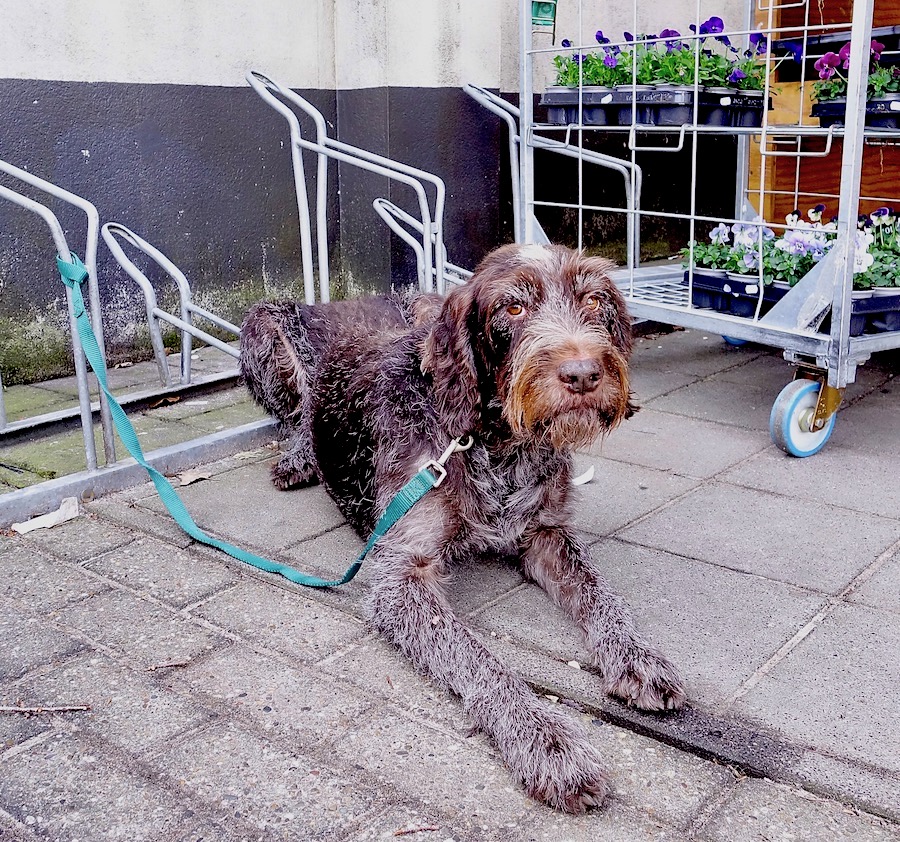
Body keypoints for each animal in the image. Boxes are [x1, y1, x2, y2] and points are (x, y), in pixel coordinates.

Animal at [240, 243, 685, 812]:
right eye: (512, 308)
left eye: (593, 300)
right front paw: (547, 741)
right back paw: (299, 455)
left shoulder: (543, 534)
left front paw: (636, 657)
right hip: (265, 323)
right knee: (294, 414)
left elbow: (600, 593)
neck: (495, 444)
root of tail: (352, 299)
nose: (584, 375)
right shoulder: (402, 576)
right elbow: (479, 660)